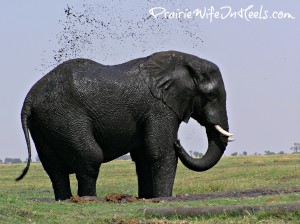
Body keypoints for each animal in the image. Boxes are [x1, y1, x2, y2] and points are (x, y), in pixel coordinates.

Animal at [17, 51, 234, 201]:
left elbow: (144, 156)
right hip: (65, 117)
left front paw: (147, 198)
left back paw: (65, 200)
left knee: (53, 168)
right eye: (211, 95)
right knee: (90, 157)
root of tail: (29, 99)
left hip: (44, 123)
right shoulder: (159, 108)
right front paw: (163, 198)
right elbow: (161, 152)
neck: (183, 62)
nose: (179, 142)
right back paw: (88, 199)